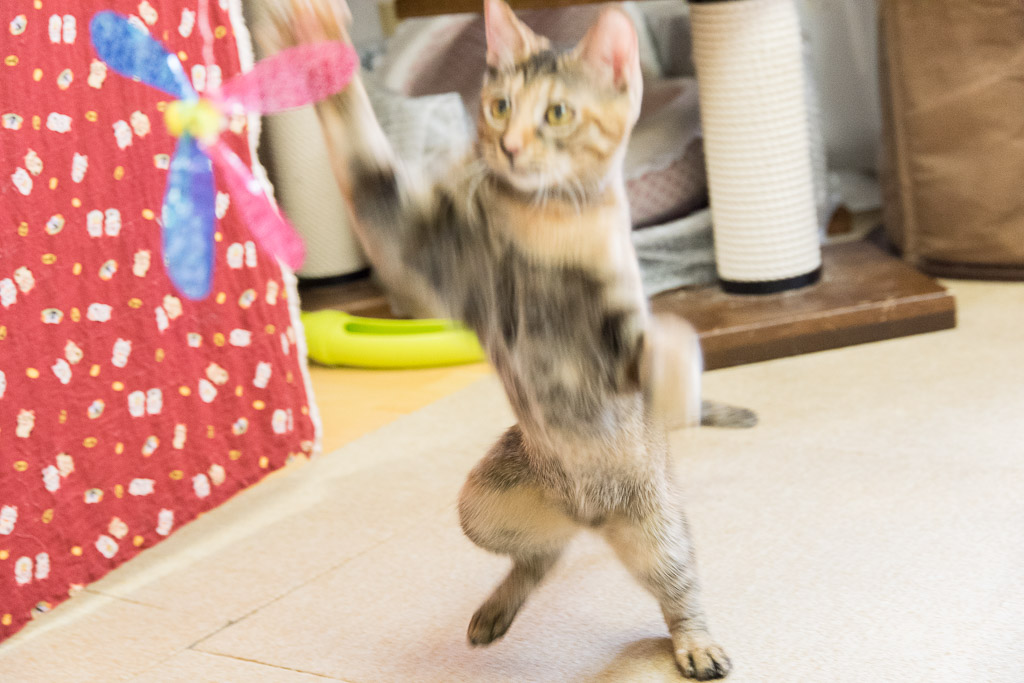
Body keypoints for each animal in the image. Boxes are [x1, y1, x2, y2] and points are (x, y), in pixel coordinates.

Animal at [260, 0, 753, 675]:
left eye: (557, 113)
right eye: (498, 107)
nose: (510, 146)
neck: (545, 226)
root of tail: (590, 520)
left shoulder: (617, 330)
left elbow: (667, 340)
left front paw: (678, 377)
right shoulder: (426, 249)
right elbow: (369, 166)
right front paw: (320, 47)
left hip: (657, 527)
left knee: (678, 587)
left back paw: (696, 643)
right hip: (482, 503)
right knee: (541, 556)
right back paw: (496, 610)